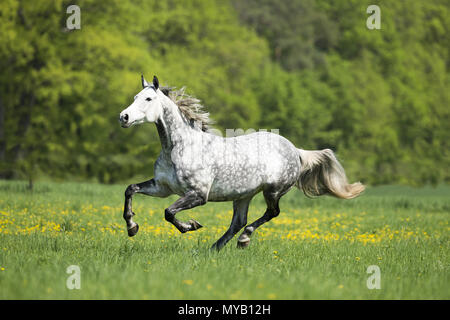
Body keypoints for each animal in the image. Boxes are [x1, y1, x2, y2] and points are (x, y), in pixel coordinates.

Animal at [118, 75, 364, 250]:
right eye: (134, 97)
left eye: (148, 99)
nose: (124, 117)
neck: (179, 147)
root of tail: (295, 150)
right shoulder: (162, 188)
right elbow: (131, 189)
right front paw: (132, 227)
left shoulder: (198, 195)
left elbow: (169, 212)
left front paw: (190, 226)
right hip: (243, 195)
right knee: (238, 221)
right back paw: (214, 248)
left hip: (273, 191)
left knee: (270, 214)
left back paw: (242, 240)